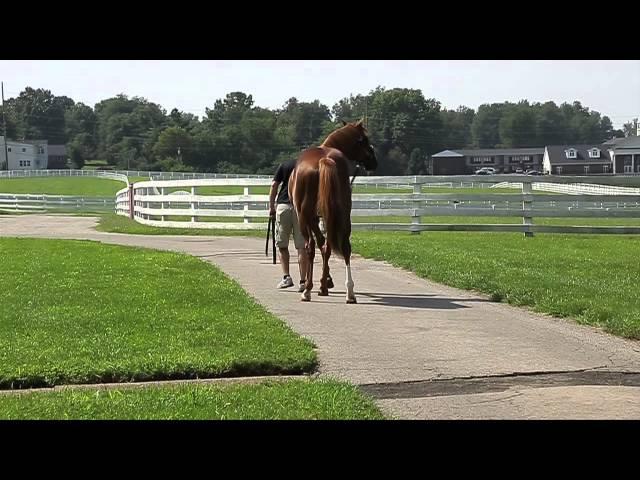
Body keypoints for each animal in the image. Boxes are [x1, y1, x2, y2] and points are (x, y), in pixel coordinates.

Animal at [288, 117, 378, 302]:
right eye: (364, 140)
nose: (374, 161)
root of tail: (325, 160)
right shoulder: (326, 217)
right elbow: (327, 246)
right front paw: (325, 283)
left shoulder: (313, 218)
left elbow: (320, 244)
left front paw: (323, 283)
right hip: (343, 213)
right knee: (345, 247)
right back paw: (350, 292)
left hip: (305, 216)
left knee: (310, 246)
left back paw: (307, 291)